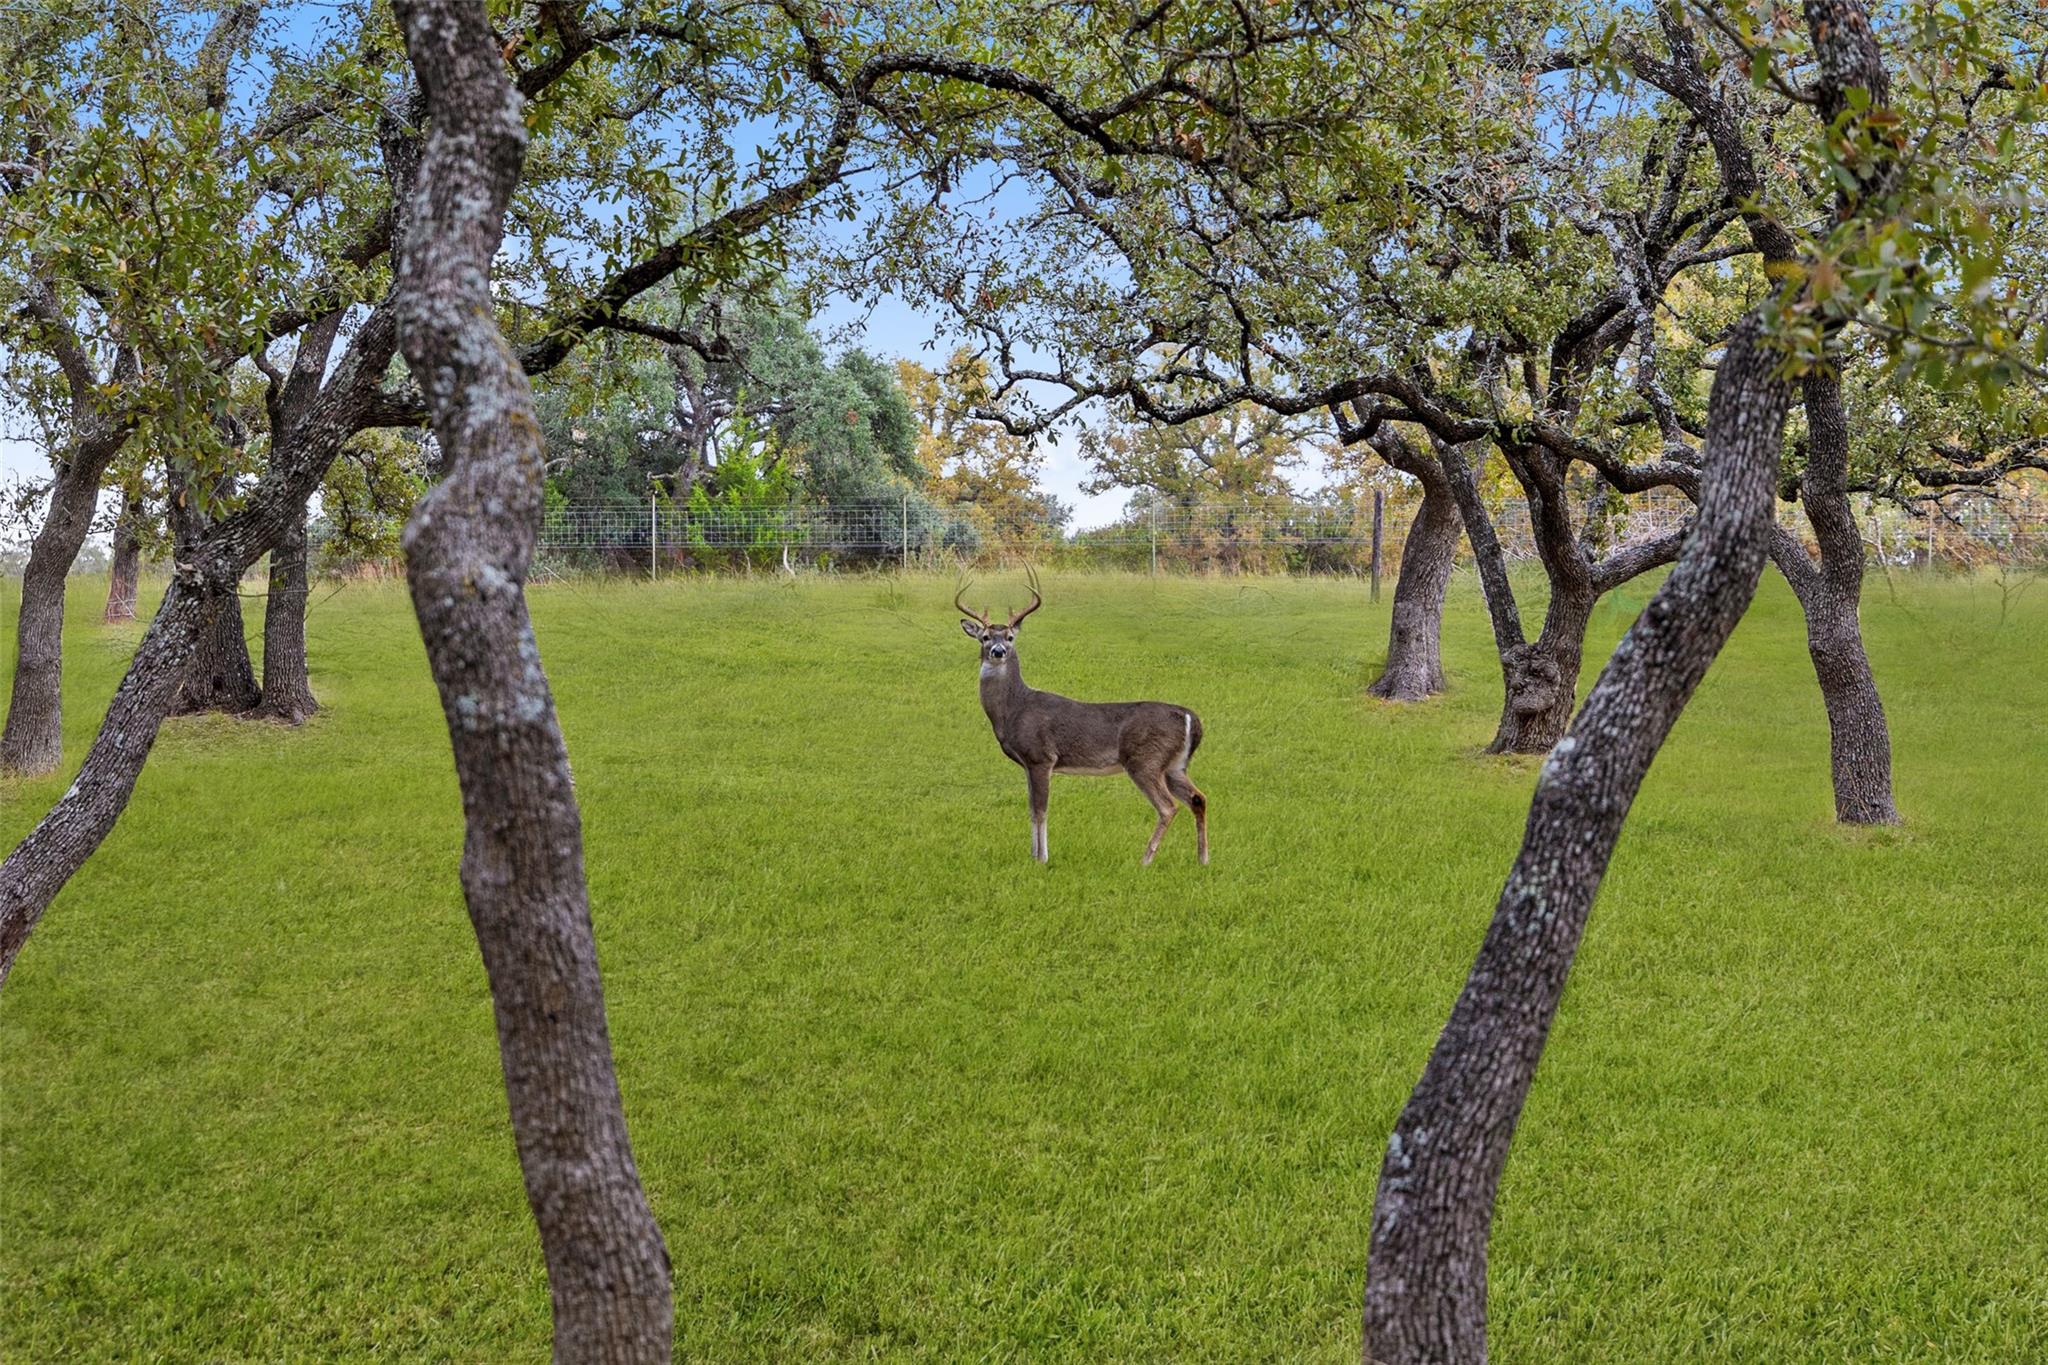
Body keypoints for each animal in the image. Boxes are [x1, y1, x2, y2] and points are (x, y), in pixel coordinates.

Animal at [954, 573, 1204, 871]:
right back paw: (1203, 859)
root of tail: (1190, 717)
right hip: (1174, 765)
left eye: (1011, 637)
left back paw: (1145, 860)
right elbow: (1031, 809)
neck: (1014, 709)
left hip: (1146, 760)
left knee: (1168, 806)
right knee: (1198, 799)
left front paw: (1042, 859)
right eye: (985, 637)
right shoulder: (1028, 764)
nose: (998, 651)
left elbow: (1041, 809)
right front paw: (1032, 855)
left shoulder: (1041, 757)